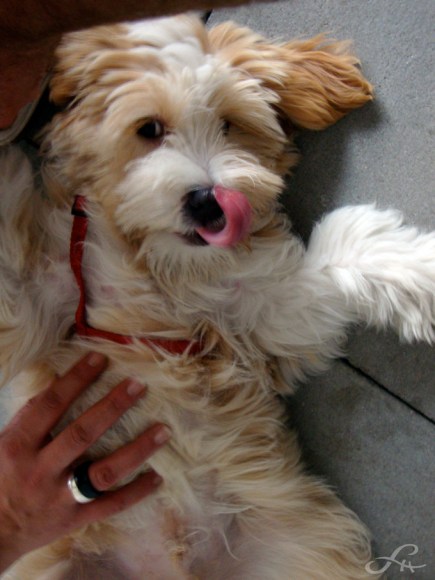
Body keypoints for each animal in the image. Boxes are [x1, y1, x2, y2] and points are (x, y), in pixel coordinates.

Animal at [1, 14, 434, 579]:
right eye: (149, 130)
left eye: (230, 124)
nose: (208, 202)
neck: (163, 268)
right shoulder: (44, 289)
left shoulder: (262, 312)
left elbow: (347, 244)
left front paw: (422, 265)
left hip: (302, 552)